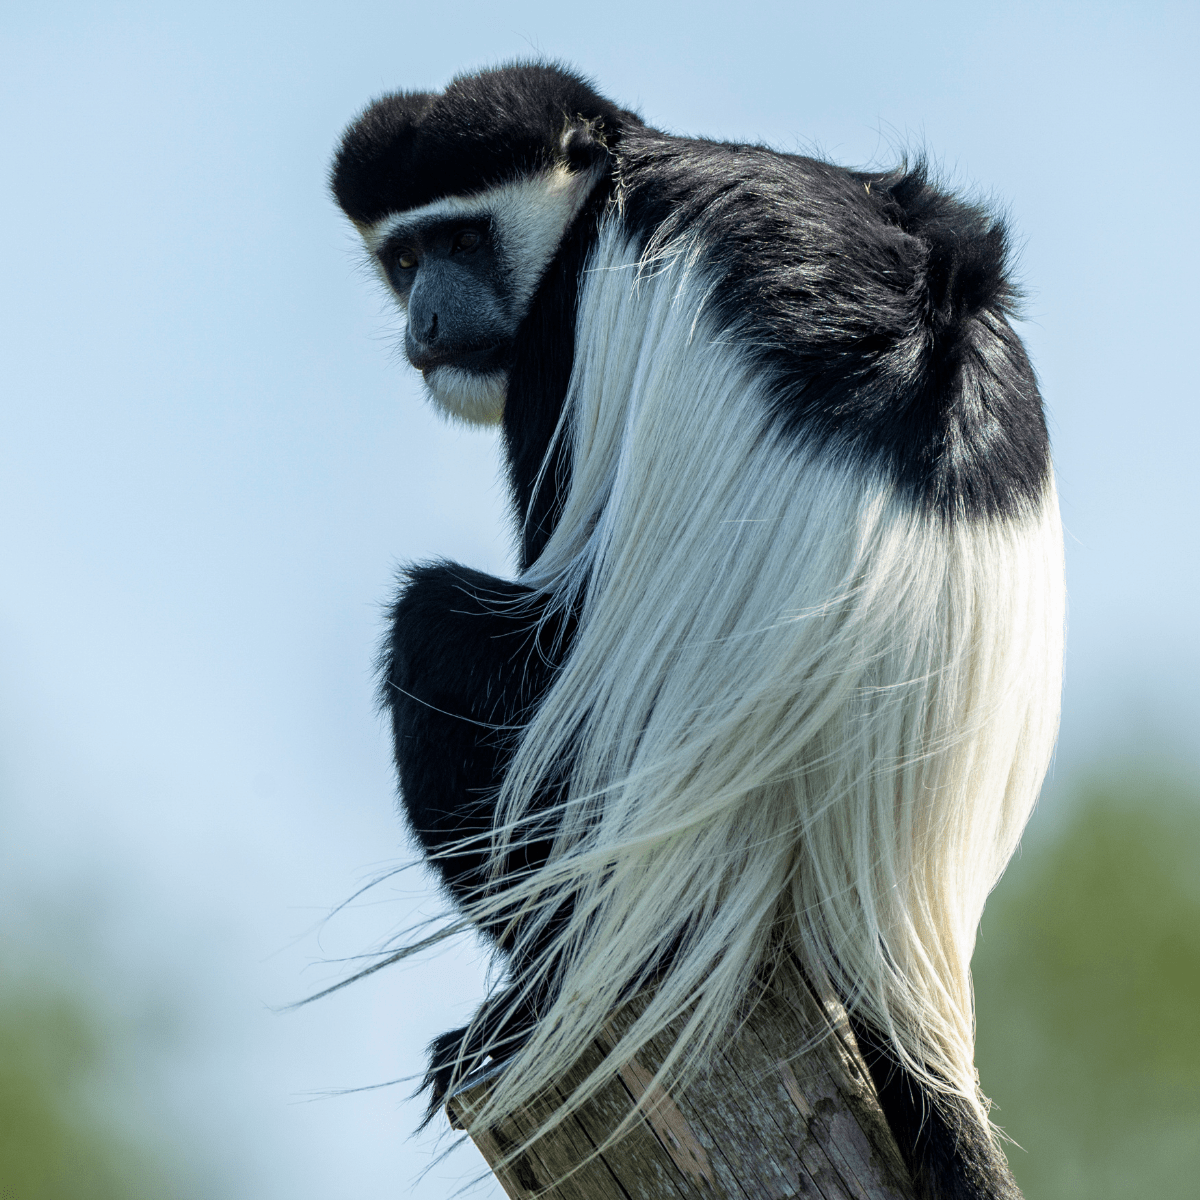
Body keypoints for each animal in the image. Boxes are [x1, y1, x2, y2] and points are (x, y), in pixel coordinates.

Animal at [331, 62, 1063, 1200]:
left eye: (459, 241)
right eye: (404, 256)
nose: (427, 323)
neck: (610, 179)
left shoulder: (572, 322)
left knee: (436, 636)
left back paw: (533, 1002)